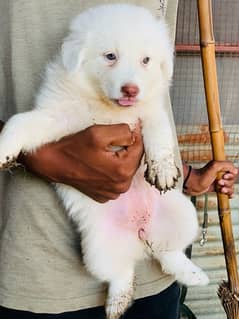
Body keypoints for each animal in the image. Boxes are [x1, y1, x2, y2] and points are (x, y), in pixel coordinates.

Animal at [0, 4, 208, 319]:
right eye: (110, 56)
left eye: (146, 60)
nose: (131, 90)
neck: (106, 105)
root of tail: (140, 231)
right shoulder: (57, 115)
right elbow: (21, 121)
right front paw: (3, 149)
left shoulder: (150, 111)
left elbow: (159, 133)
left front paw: (162, 168)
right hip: (98, 251)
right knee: (123, 272)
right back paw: (117, 302)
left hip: (183, 216)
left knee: (168, 252)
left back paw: (194, 275)